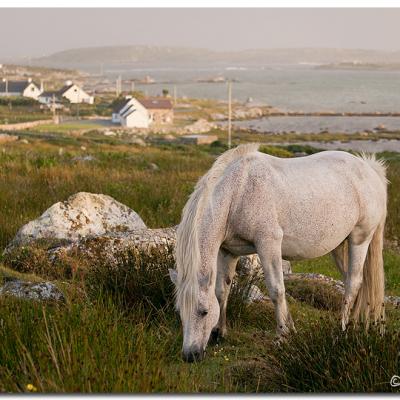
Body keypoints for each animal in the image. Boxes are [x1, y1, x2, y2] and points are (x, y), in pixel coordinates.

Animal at [170, 145, 388, 362]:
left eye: (203, 312)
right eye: (180, 311)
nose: (190, 355)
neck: (238, 191)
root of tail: (369, 168)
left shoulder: (269, 244)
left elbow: (276, 290)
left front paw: (283, 336)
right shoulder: (227, 252)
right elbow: (222, 290)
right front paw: (219, 333)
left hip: (359, 239)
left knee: (353, 283)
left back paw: (340, 332)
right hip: (339, 247)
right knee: (355, 283)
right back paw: (355, 326)